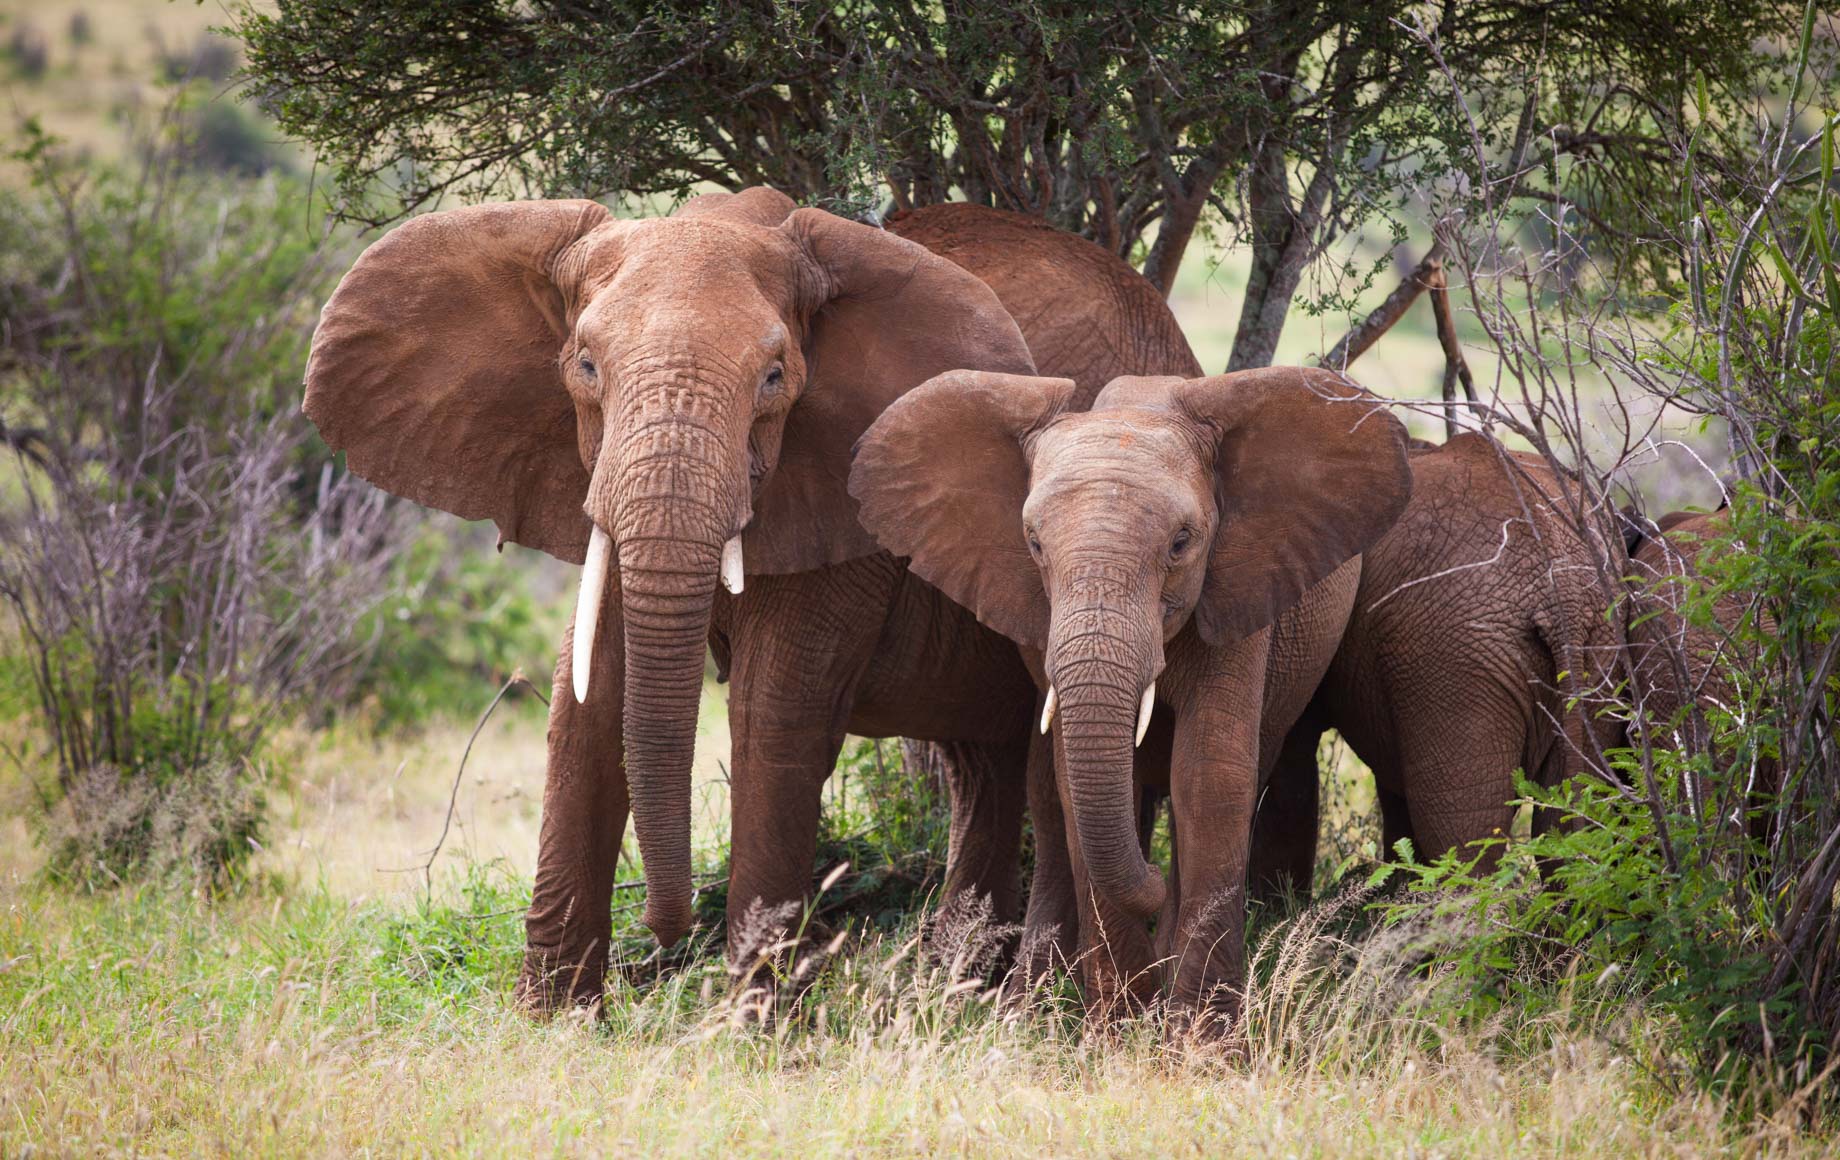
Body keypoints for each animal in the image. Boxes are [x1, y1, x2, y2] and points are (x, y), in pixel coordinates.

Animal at [846, 368, 1405, 1031]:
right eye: (1034, 543)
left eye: (1182, 542)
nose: (1155, 881)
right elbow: (1072, 780)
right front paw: (1117, 1032)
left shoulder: (1238, 591)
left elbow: (1210, 777)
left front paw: (1202, 1041)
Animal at [1251, 432, 1626, 894]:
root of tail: (1563, 596)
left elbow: (1288, 768)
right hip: (1594, 651)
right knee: (1568, 832)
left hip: (1455, 656)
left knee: (1465, 840)